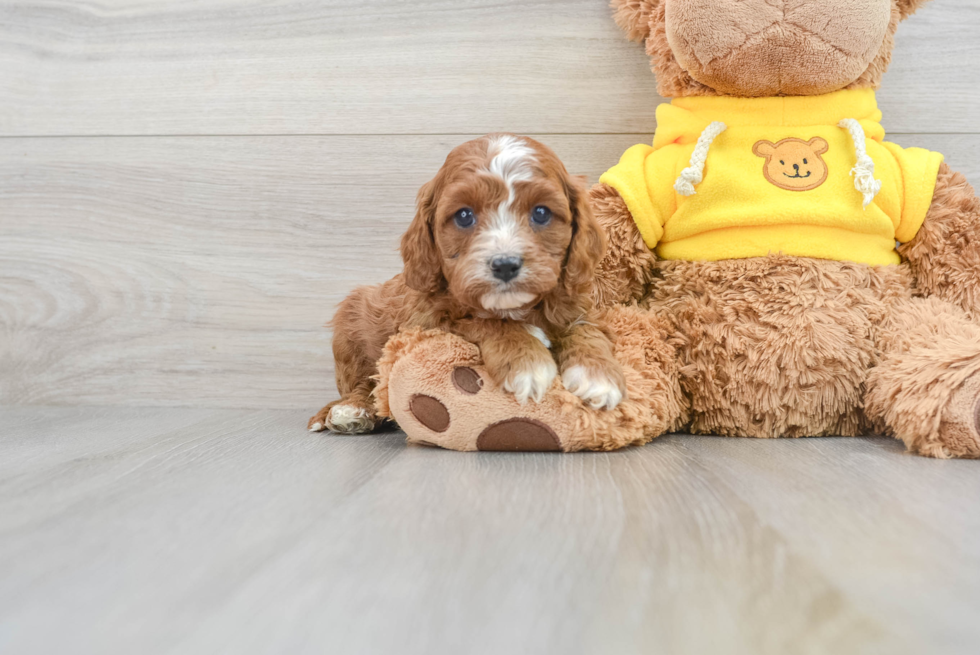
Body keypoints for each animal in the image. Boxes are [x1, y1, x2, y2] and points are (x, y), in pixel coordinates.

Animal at [308, 135, 628, 436]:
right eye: (464, 215)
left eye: (541, 213)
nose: (505, 264)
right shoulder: (426, 322)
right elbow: (483, 322)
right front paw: (527, 362)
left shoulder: (576, 306)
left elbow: (585, 329)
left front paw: (598, 375)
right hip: (350, 327)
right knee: (363, 384)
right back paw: (351, 410)